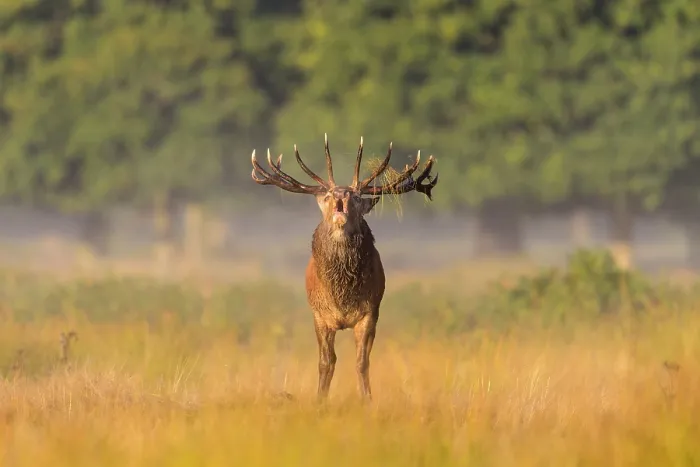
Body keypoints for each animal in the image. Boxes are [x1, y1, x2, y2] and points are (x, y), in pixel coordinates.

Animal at [251, 134, 438, 401]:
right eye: (329, 196)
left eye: (357, 197)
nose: (341, 194)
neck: (342, 295)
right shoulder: (319, 315)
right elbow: (326, 362)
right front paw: (320, 398)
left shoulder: (370, 313)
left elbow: (362, 362)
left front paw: (367, 399)